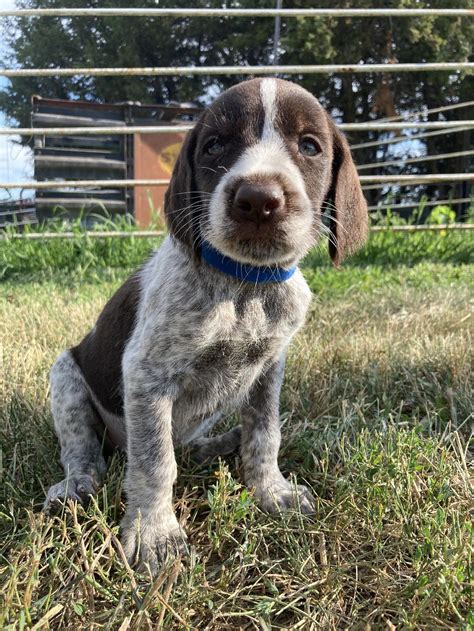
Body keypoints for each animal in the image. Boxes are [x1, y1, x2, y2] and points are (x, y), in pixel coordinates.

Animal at [44, 78, 368, 572]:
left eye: (310, 146)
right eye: (215, 145)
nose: (258, 200)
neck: (245, 286)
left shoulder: (268, 370)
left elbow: (265, 435)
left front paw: (271, 491)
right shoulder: (147, 376)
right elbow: (155, 462)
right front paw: (155, 534)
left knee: (189, 446)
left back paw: (220, 444)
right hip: (66, 375)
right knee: (85, 452)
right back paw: (77, 485)